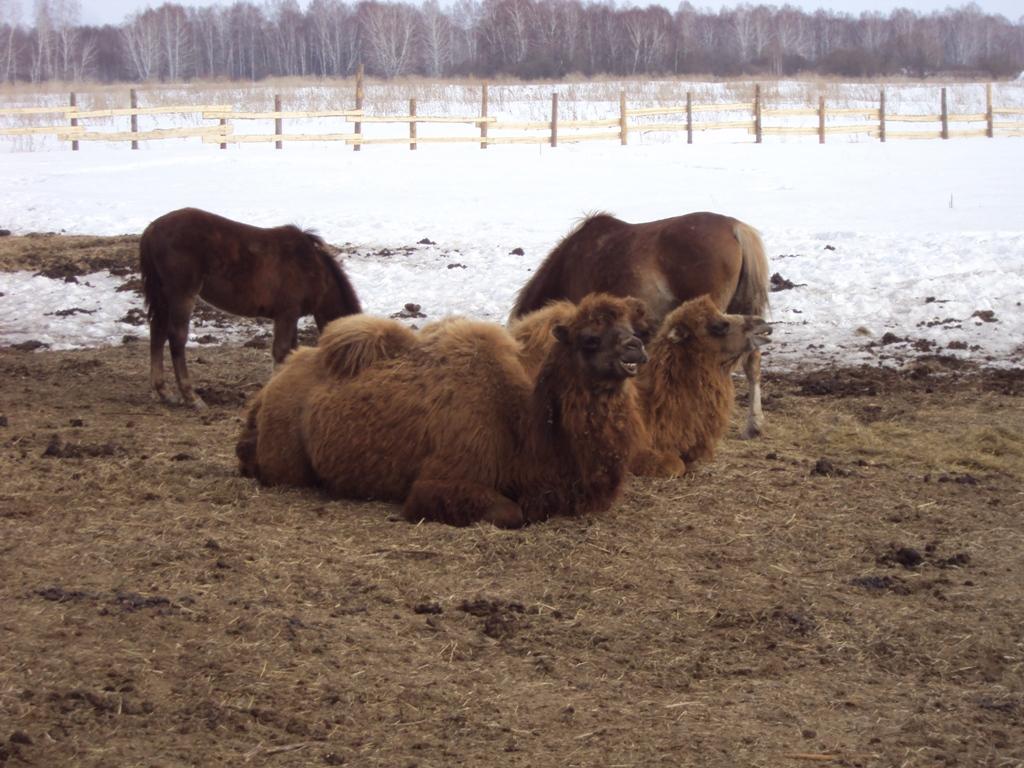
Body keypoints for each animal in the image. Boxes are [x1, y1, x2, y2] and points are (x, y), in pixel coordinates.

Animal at [140, 204, 362, 409]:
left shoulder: (291, 316)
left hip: (163, 296)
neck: (313, 268)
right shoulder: (287, 314)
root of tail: (152, 228)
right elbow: (281, 351)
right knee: (176, 337)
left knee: (157, 331)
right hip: (182, 295)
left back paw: (163, 391)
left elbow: (291, 351)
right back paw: (191, 397)